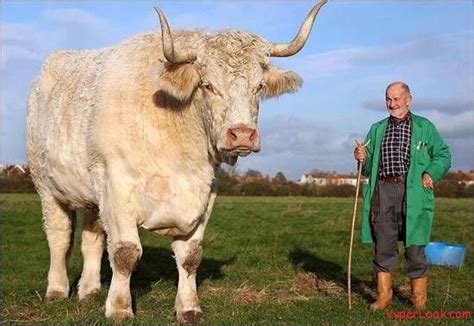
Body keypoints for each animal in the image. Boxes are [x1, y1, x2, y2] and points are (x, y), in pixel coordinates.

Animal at [25, 0, 328, 320]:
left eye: (258, 87)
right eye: (207, 85)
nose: (242, 135)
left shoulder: (205, 194)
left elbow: (190, 257)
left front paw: (189, 308)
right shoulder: (117, 186)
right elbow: (125, 252)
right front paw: (120, 308)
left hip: (93, 193)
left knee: (91, 238)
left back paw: (89, 290)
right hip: (46, 185)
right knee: (59, 236)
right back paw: (57, 290)